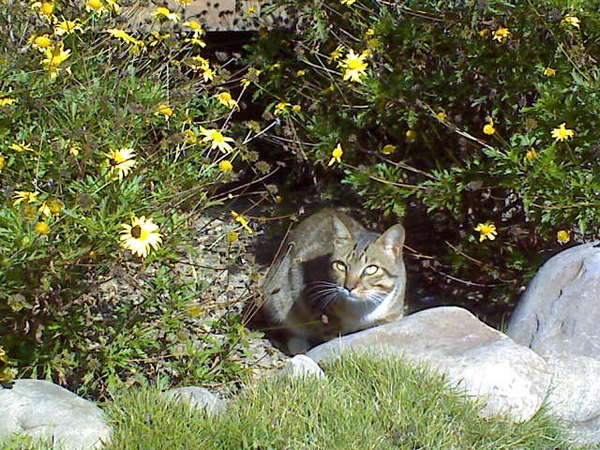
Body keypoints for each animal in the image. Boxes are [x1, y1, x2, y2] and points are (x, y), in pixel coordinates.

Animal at [258, 208, 408, 356]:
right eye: (341, 266)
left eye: (371, 269)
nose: (349, 287)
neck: (362, 309)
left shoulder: (392, 316)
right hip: (276, 294)